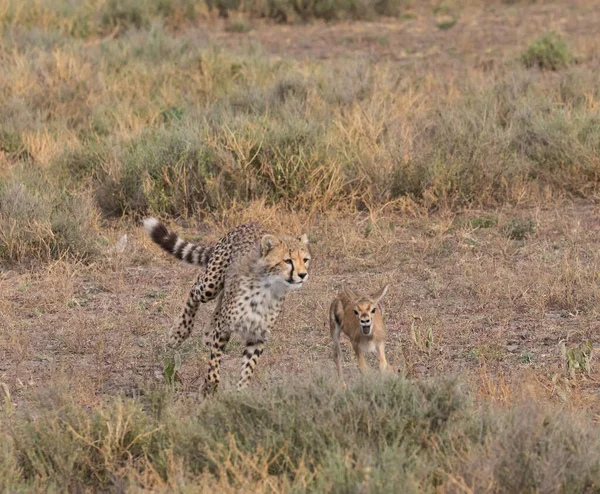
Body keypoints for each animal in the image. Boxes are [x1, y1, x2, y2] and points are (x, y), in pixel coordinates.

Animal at [144, 218, 312, 396]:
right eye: (287, 261)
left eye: (305, 260)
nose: (302, 275)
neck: (269, 288)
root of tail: (248, 223)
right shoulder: (224, 328)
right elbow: (214, 366)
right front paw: (209, 388)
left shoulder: (258, 335)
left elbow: (248, 367)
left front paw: (241, 393)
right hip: (210, 285)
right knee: (195, 287)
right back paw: (179, 332)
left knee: (219, 302)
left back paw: (207, 334)